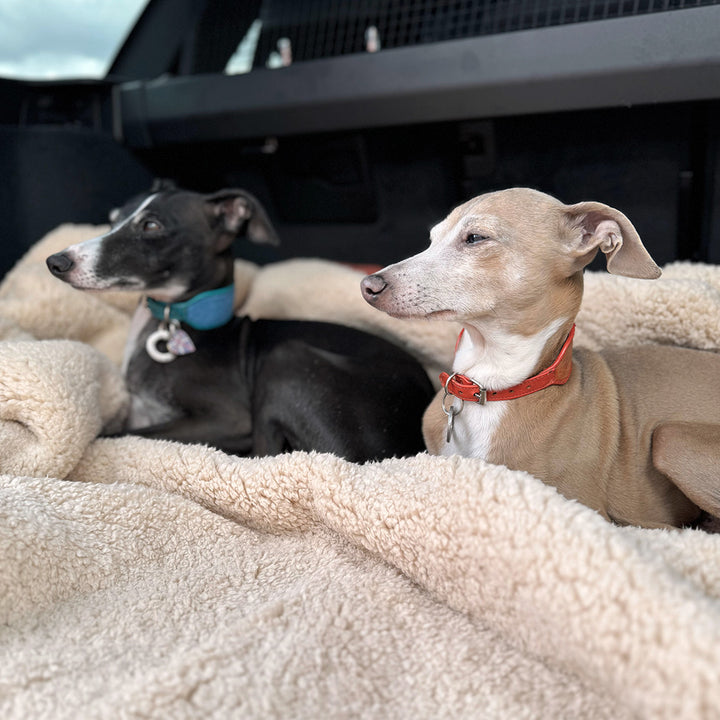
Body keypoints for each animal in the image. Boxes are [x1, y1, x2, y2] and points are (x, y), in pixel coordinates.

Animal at [50, 183, 436, 458]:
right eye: (114, 217)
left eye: (151, 224)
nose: (56, 262)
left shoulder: (230, 419)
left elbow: (113, 433)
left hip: (288, 358)